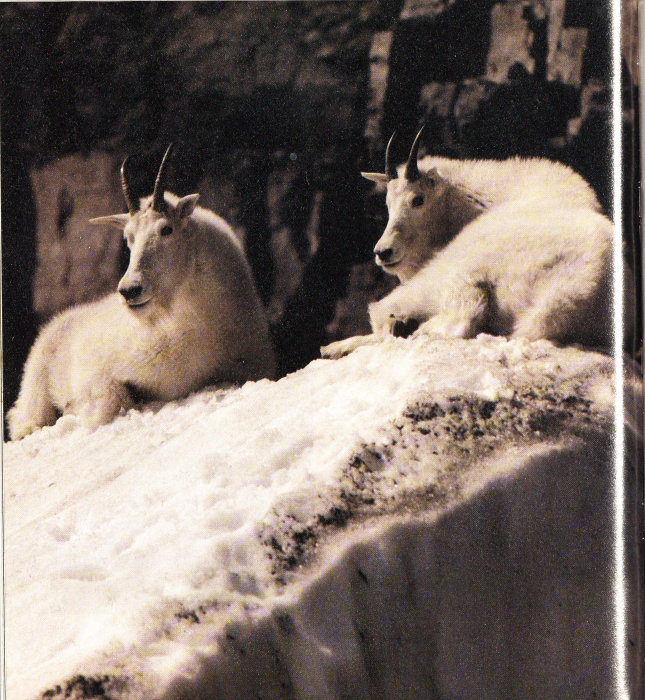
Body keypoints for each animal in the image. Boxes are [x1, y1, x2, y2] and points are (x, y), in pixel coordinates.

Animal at [8, 145, 276, 440]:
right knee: (23, 418)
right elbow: (113, 397)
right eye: (128, 237)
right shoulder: (100, 371)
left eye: (166, 229)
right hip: (35, 383)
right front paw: (78, 406)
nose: (130, 290)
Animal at [321, 127, 633, 359]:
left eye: (418, 199)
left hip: (461, 269)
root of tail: (578, 286)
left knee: (457, 317)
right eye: (387, 203)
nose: (383, 252)